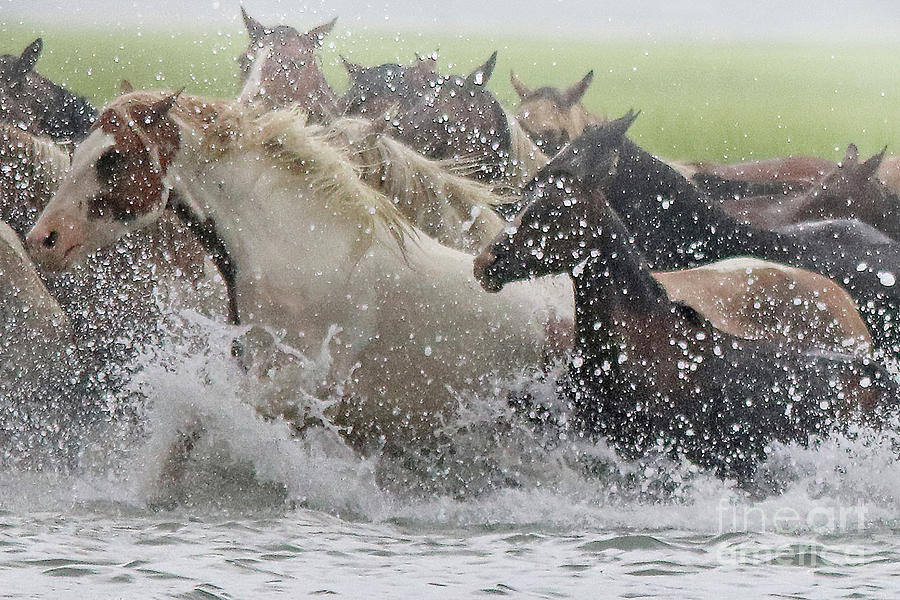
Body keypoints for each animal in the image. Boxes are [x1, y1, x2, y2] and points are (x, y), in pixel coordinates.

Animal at [28, 91, 576, 452]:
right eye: (78, 150)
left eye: (112, 157)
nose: (42, 241)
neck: (300, 248)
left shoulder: (301, 389)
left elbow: (197, 415)